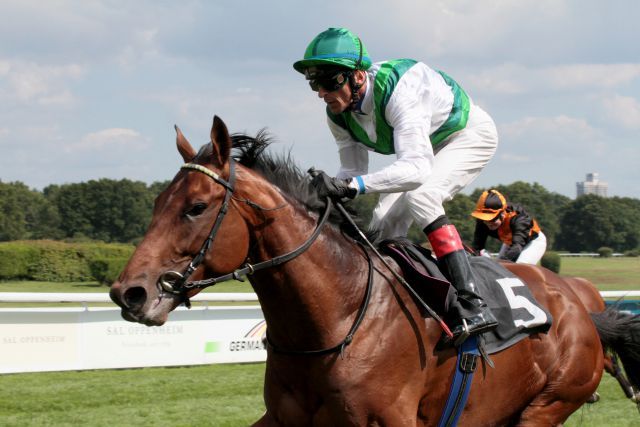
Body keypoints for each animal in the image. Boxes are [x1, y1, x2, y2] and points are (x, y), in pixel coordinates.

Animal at [110, 115, 640, 426]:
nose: (128, 293)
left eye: (196, 207)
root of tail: (581, 308)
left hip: (548, 405)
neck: (337, 318)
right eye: (156, 202)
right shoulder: (282, 419)